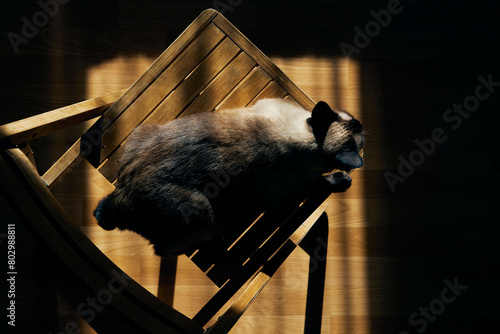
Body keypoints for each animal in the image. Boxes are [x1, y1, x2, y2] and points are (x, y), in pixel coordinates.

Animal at [94, 99, 364, 256]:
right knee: (166, 250)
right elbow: (320, 183)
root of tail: (123, 195)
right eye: (360, 138)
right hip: (201, 212)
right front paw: (341, 180)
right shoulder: (283, 196)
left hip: (144, 130)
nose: (362, 124)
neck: (305, 138)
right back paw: (217, 240)